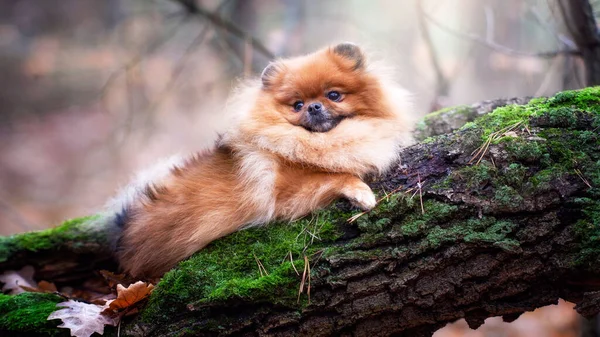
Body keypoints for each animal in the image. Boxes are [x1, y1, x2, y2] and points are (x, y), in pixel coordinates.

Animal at [106, 42, 412, 278]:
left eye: (334, 95)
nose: (313, 106)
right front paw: (362, 194)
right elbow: (335, 176)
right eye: (297, 105)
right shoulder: (287, 192)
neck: (320, 141)